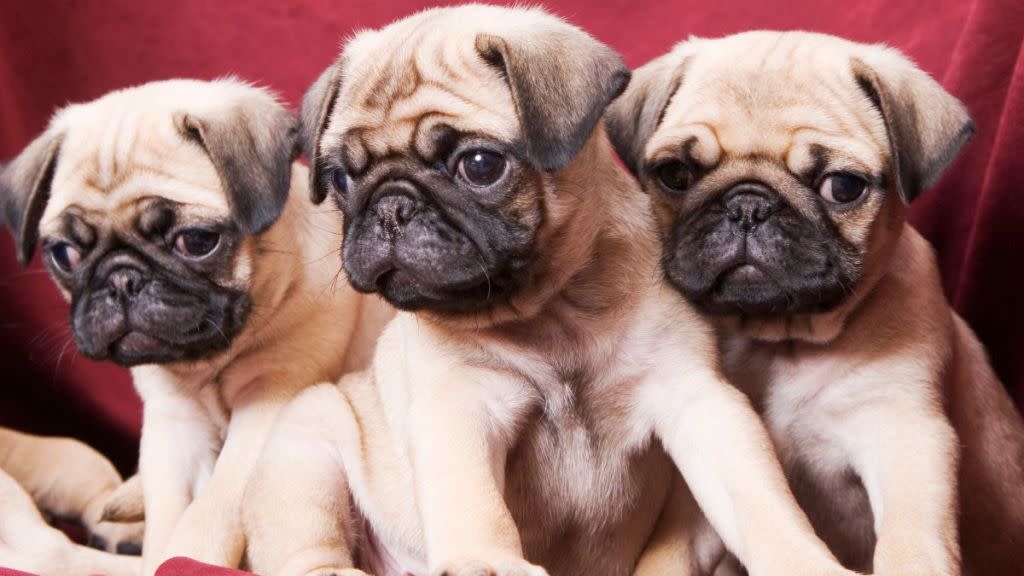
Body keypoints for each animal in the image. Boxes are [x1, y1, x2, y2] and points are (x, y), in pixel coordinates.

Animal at [239, 7, 856, 573]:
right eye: (341, 179)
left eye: (480, 165)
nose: (391, 207)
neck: (555, 309)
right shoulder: (460, 405)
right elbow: (471, 499)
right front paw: (482, 562)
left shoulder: (699, 400)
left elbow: (761, 502)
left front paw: (803, 559)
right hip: (308, 443)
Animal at [602, 32, 1024, 573]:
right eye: (675, 174)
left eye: (843, 187)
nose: (748, 205)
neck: (779, 338)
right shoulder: (702, 497)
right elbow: (672, 554)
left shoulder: (906, 436)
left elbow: (909, 542)